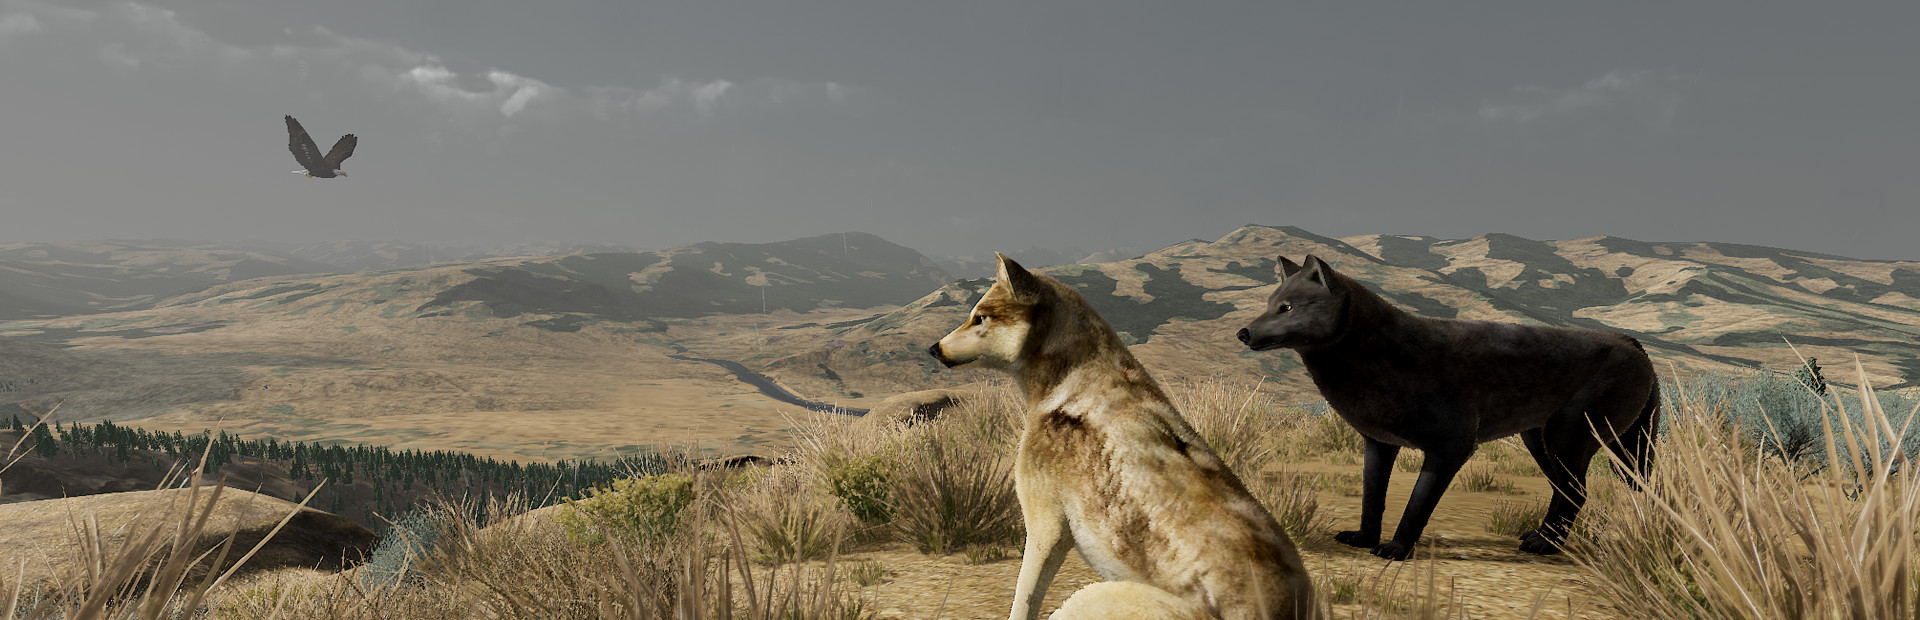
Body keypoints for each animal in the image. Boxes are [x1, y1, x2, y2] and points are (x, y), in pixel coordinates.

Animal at [929, 253, 1315, 620]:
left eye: (980, 318)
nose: (934, 348)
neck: (1072, 379)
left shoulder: (1045, 527)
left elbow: (1023, 601)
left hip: (1082, 599)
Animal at [1237, 255, 1659, 561]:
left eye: (1286, 308)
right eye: (1268, 304)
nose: (1243, 332)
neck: (1378, 357)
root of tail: (1629, 341)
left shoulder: (1450, 448)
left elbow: (1415, 507)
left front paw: (1396, 550)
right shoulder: (1379, 444)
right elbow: (1372, 498)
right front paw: (1363, 538)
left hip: (1566, 440)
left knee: (1577, 491)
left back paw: (1546, 546)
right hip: (1541, 443)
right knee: (1568, 490)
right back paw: (1540, 537)